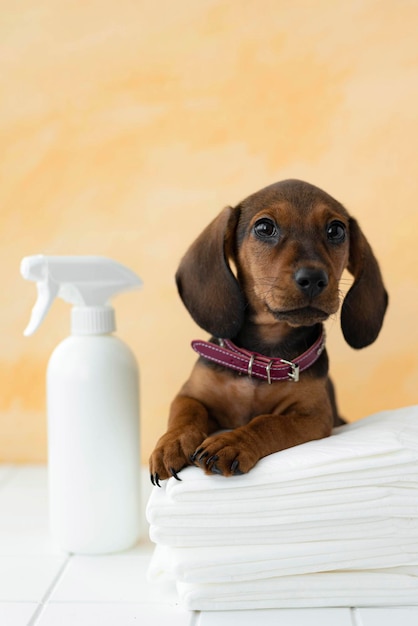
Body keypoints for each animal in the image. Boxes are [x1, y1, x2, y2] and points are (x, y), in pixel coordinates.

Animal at [149, 178, 386, 486]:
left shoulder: (313, 416)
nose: (313, 278)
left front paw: (232, 442)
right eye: (264, 227)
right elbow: (185, 413)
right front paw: (172, 443)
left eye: (336, 230)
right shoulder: (192, 394)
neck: (262, 359)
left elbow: (269, 423)